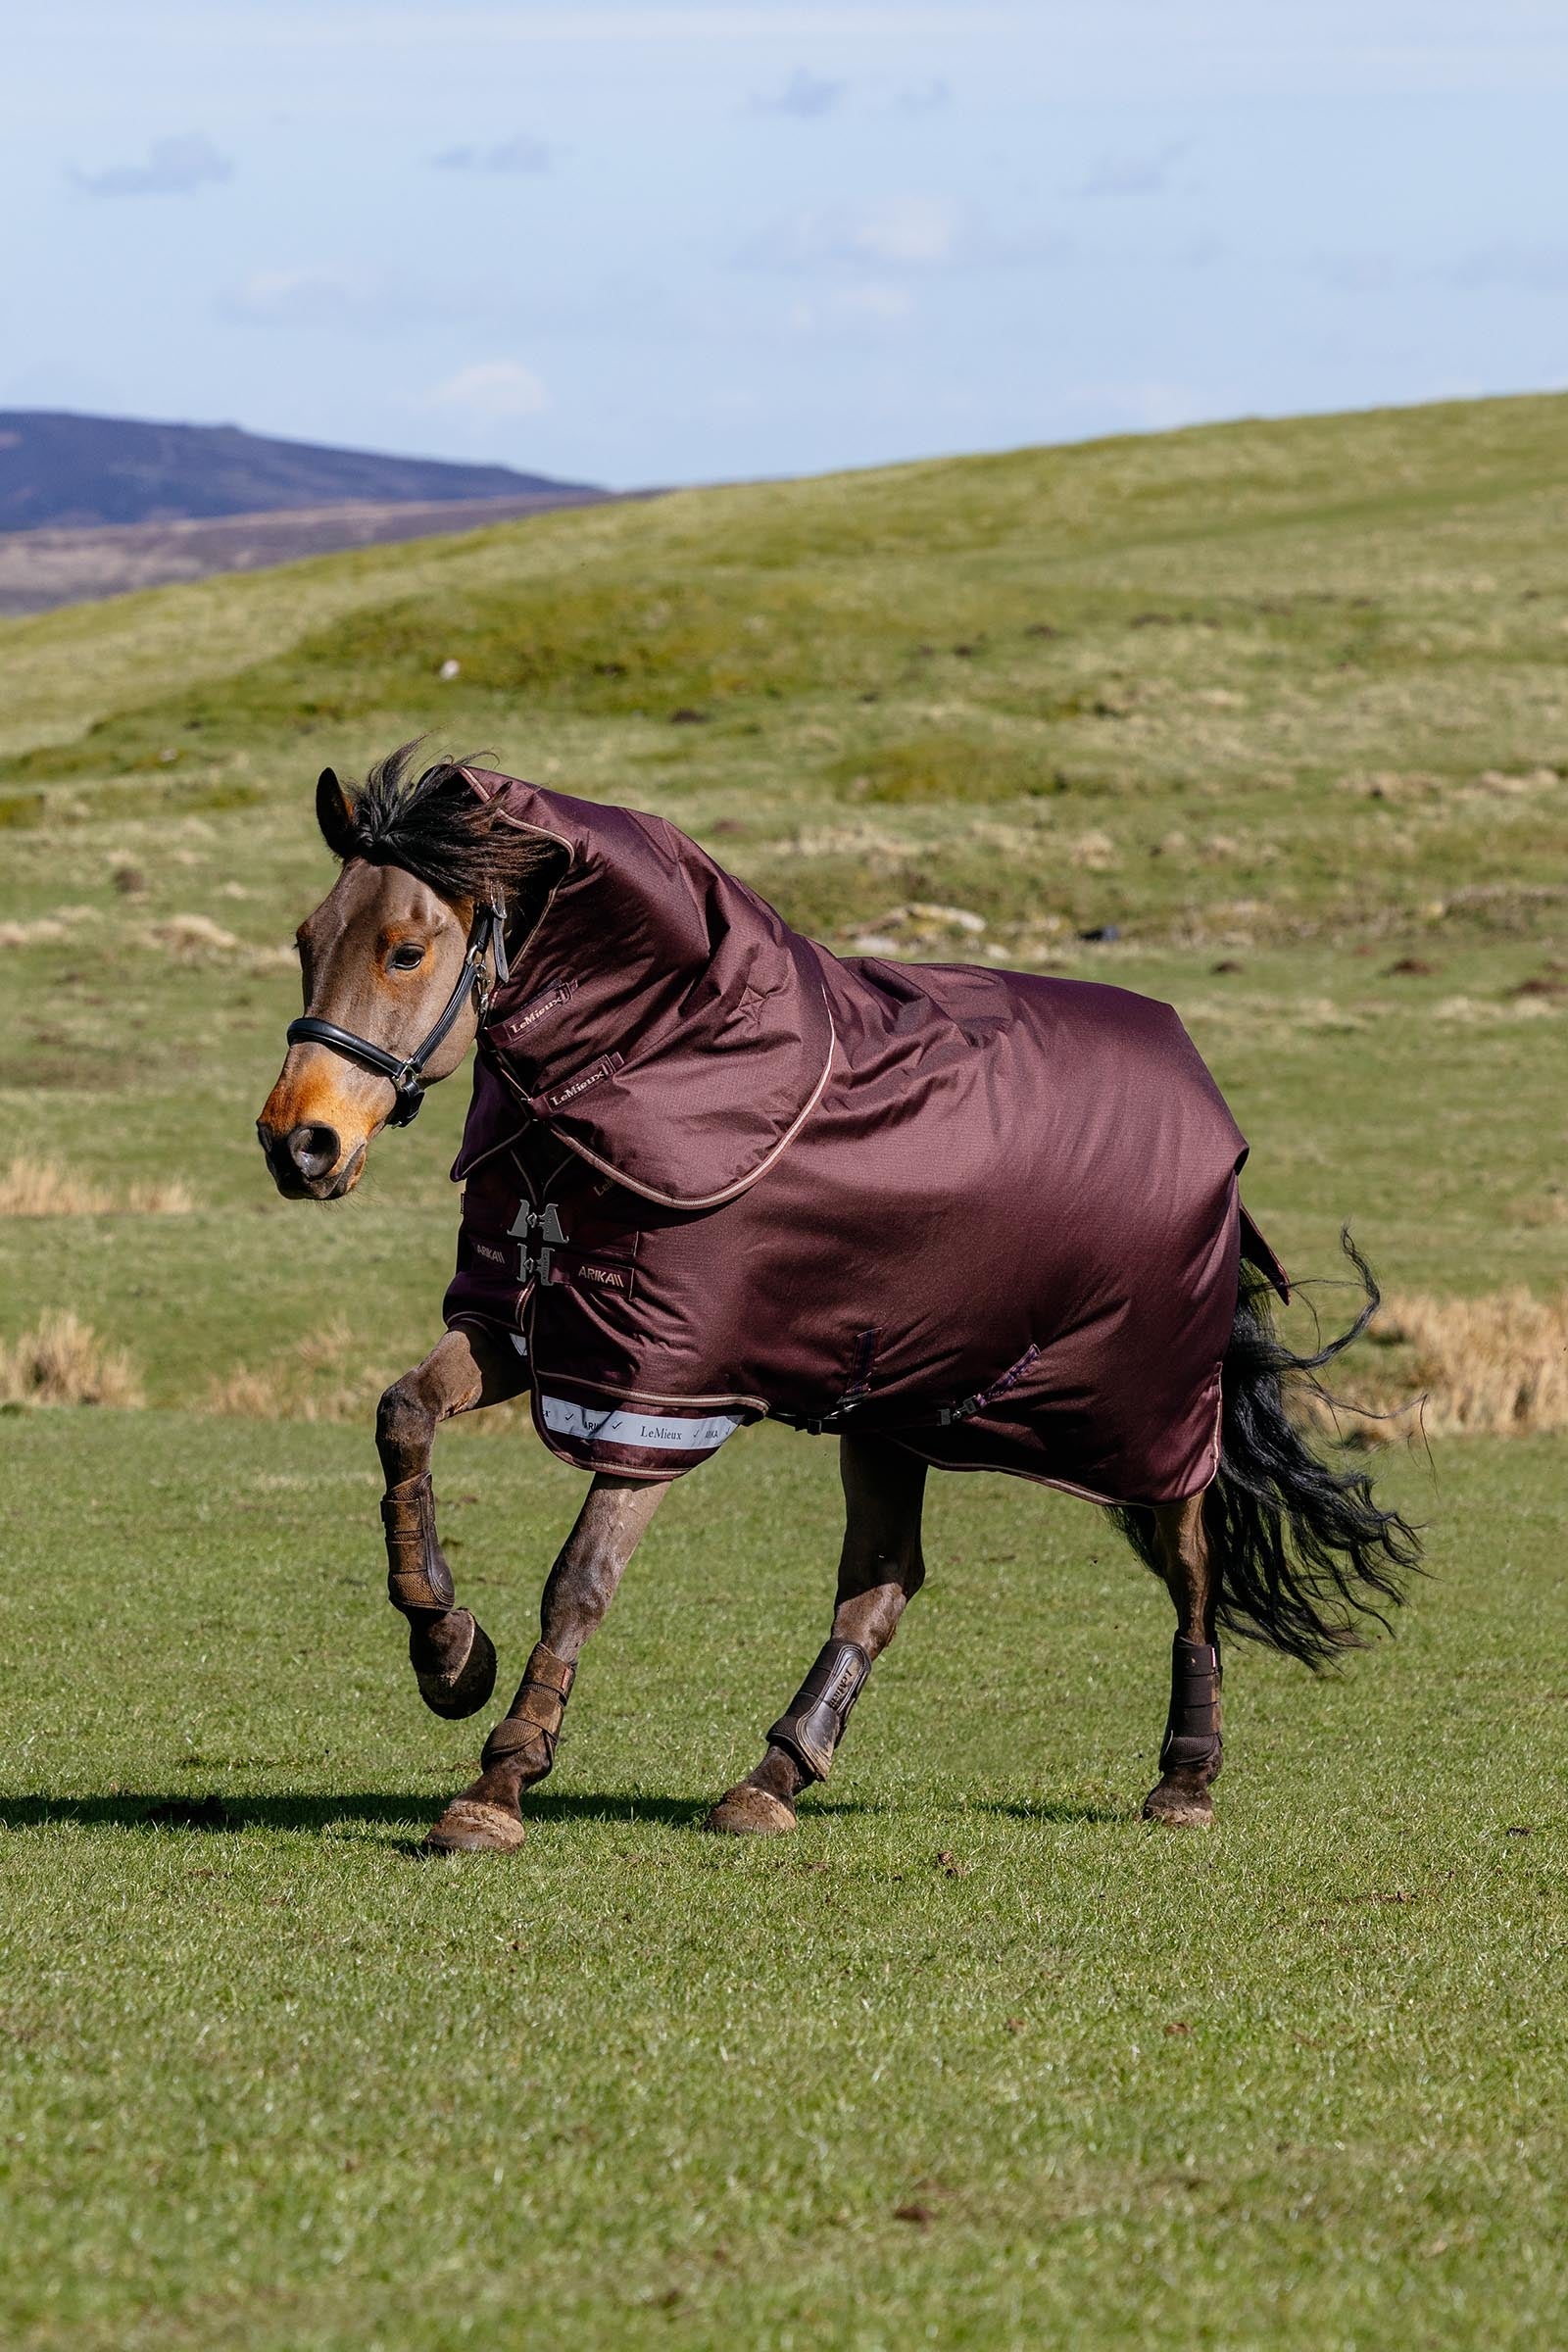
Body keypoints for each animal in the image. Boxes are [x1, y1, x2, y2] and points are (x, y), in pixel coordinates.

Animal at [257, 746, 1420, 1855]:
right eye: (308, 940)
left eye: (405, 951)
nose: (297, 1144)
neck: (648, 1070)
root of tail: (1213, 1113)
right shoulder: (534, 1328)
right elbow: (403, 1416)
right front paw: (448, 1652)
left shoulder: (661, 1392)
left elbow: (580, 1579)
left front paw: (496, 1786)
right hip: (894, 1406)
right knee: (883, 1580)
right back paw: (771, 1779)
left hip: (1150, 1416)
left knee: (1191, 1568)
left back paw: (1183, 1779)